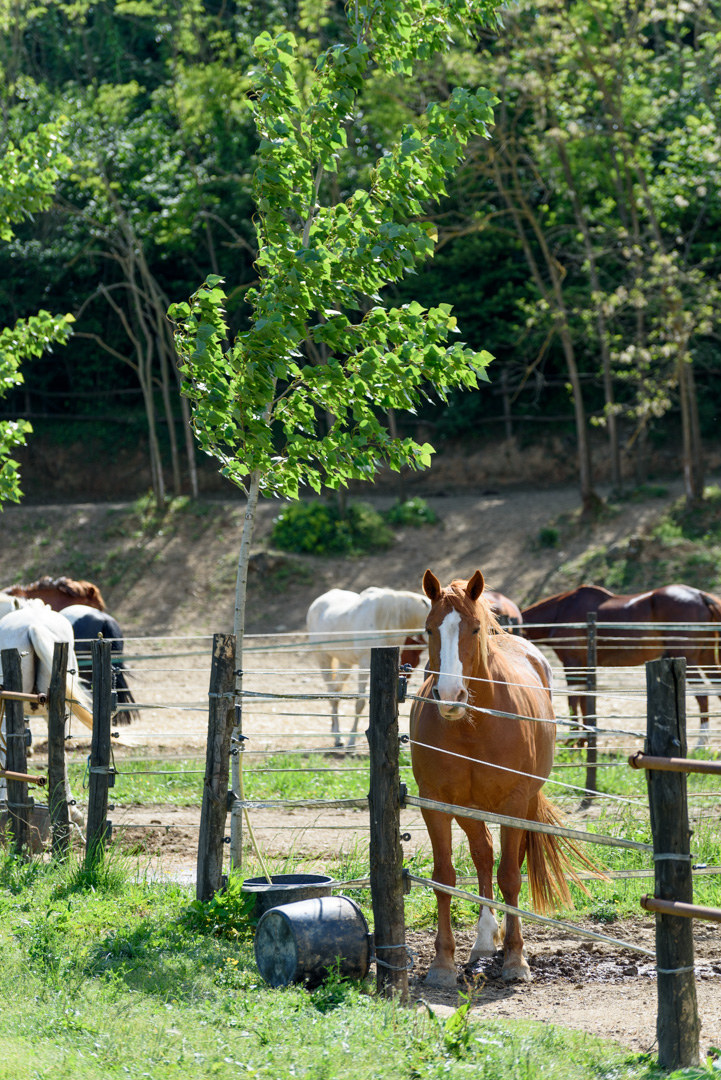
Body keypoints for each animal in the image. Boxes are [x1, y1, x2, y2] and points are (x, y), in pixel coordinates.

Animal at [306, 586, 431, 748]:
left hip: (345, 663)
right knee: (332, 692)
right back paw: (338, 737)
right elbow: (360, 703)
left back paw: (335, 732)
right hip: (323, 658)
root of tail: (316, 603)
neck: (386, 620)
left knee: (336, 690)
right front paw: (351, 742)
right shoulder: (365, 665)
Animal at [410, 569, 592, 984]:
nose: (450, 695)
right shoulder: (436, 803)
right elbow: (444, 877)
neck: (472, 727)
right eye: (429, 629)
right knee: (483, 854)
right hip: (469, 809)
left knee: (506, 861)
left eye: (475, 629)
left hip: (522, 805)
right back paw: (482, 941)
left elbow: (510, 876)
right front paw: (442, 963)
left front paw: (515, 959)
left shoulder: (514, 802)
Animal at [521, 584, 721, 745]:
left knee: (703, 697)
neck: (560, 611)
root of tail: (701, 595)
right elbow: (586, 701)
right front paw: (585, 740)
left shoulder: (573, 663)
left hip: (690, 660)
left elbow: (574, 700)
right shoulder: (587, 666)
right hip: (706, 659)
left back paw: (701, 744)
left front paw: (573, 743)